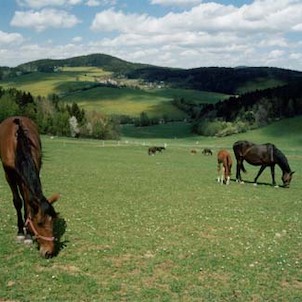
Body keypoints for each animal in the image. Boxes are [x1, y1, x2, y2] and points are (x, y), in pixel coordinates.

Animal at [0, 115, 59, 258]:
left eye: (53, 221)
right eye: (39, 223)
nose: (49, 252)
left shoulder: (35, 168)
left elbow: (28, 203)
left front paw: (28, 235)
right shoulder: (9, 174)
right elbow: (17, 202)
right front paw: (22, 233)